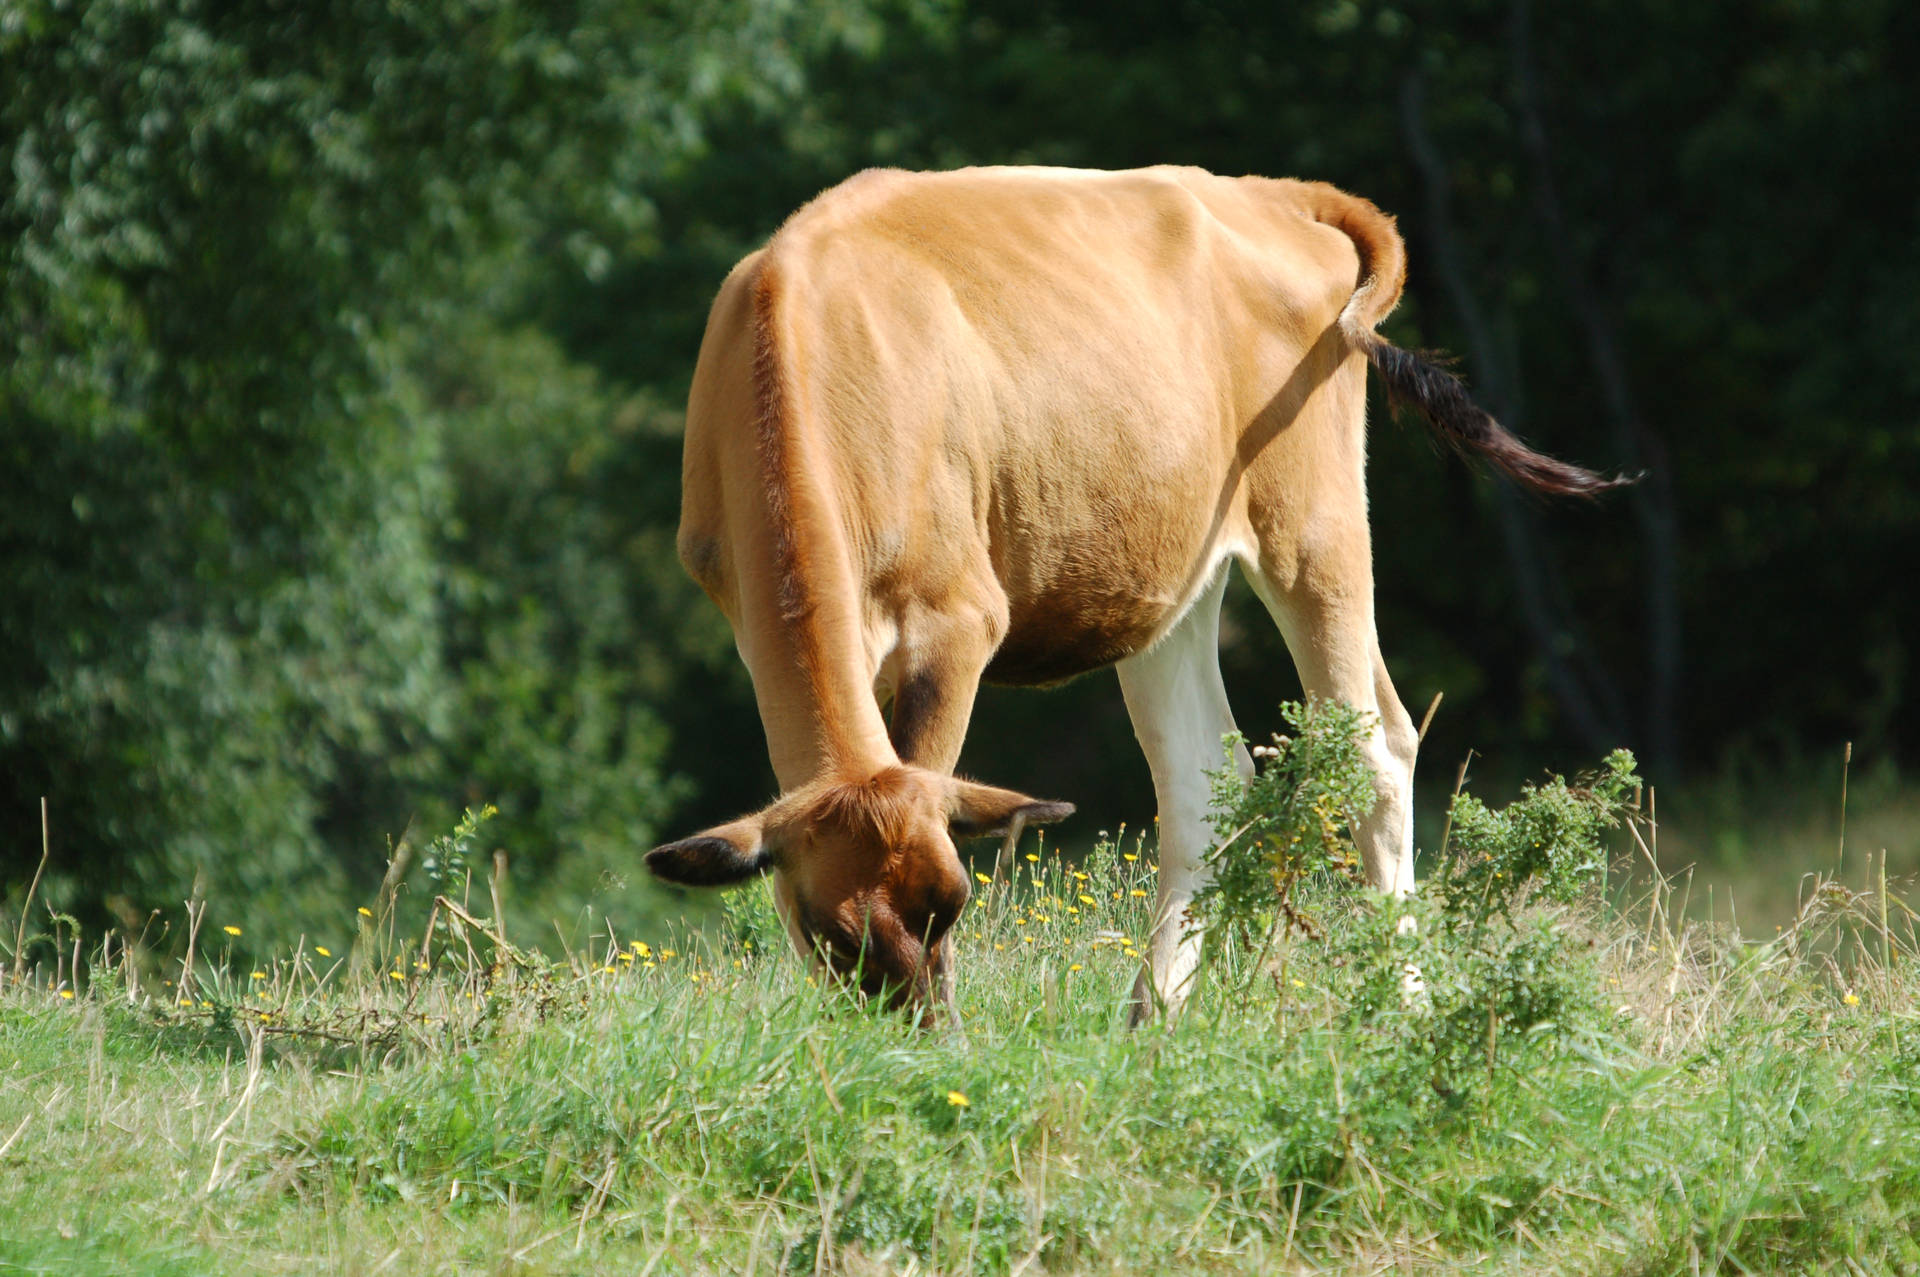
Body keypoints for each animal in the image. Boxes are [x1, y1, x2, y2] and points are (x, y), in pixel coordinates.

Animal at [648, 164, 1620, 1029]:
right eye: (827, 934)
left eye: (951, 904)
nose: (920, 1035)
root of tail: (1269, 193)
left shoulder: (957, 619)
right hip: (1178, 581)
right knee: (1204, 778)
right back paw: (1155, 1008)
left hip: (1315, 524)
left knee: (1374, 744)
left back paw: (1401, 1003)